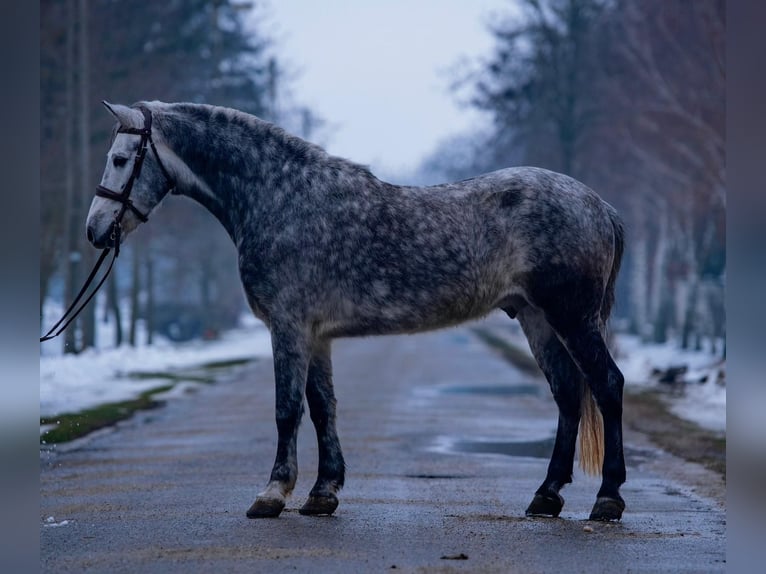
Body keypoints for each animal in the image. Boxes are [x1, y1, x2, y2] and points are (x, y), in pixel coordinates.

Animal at [86, 101, 626, 522]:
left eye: (120, 158)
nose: (94, 230)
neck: (278, 196)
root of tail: (598, 204)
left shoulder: (288, 327)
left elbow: (287, 408)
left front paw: (272, 494)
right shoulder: (316, 335)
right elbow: (323, 407)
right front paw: (322, 493)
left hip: (571, 317)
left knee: (606, 386)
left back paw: (608, 500)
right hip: (538, 319)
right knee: (567, 395)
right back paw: (546, 497)